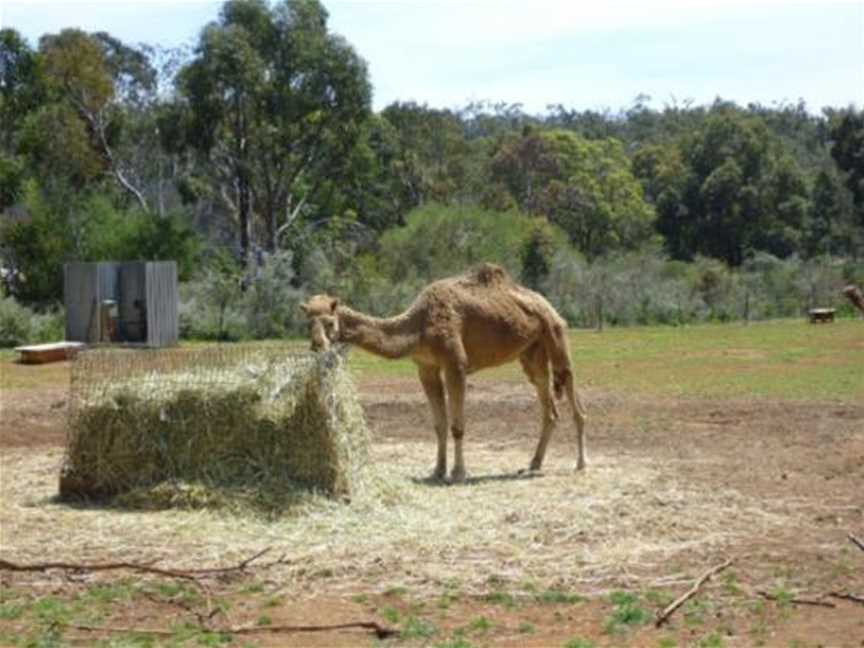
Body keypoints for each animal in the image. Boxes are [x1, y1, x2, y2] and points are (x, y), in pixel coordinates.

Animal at [300, 262, 592, 480]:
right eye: (307, 324)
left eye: (329, 322)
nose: (317, 345)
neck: (418, 327)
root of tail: (549, 306)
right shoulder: (426, 367)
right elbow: (439, 424)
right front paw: (437, 471)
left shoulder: (455, 364)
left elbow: (457, 425)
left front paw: (458, 472)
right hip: (531, 353)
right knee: (548, 404)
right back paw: (533, 463)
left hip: (556, 335)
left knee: (572, 390)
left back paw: (580, 464)